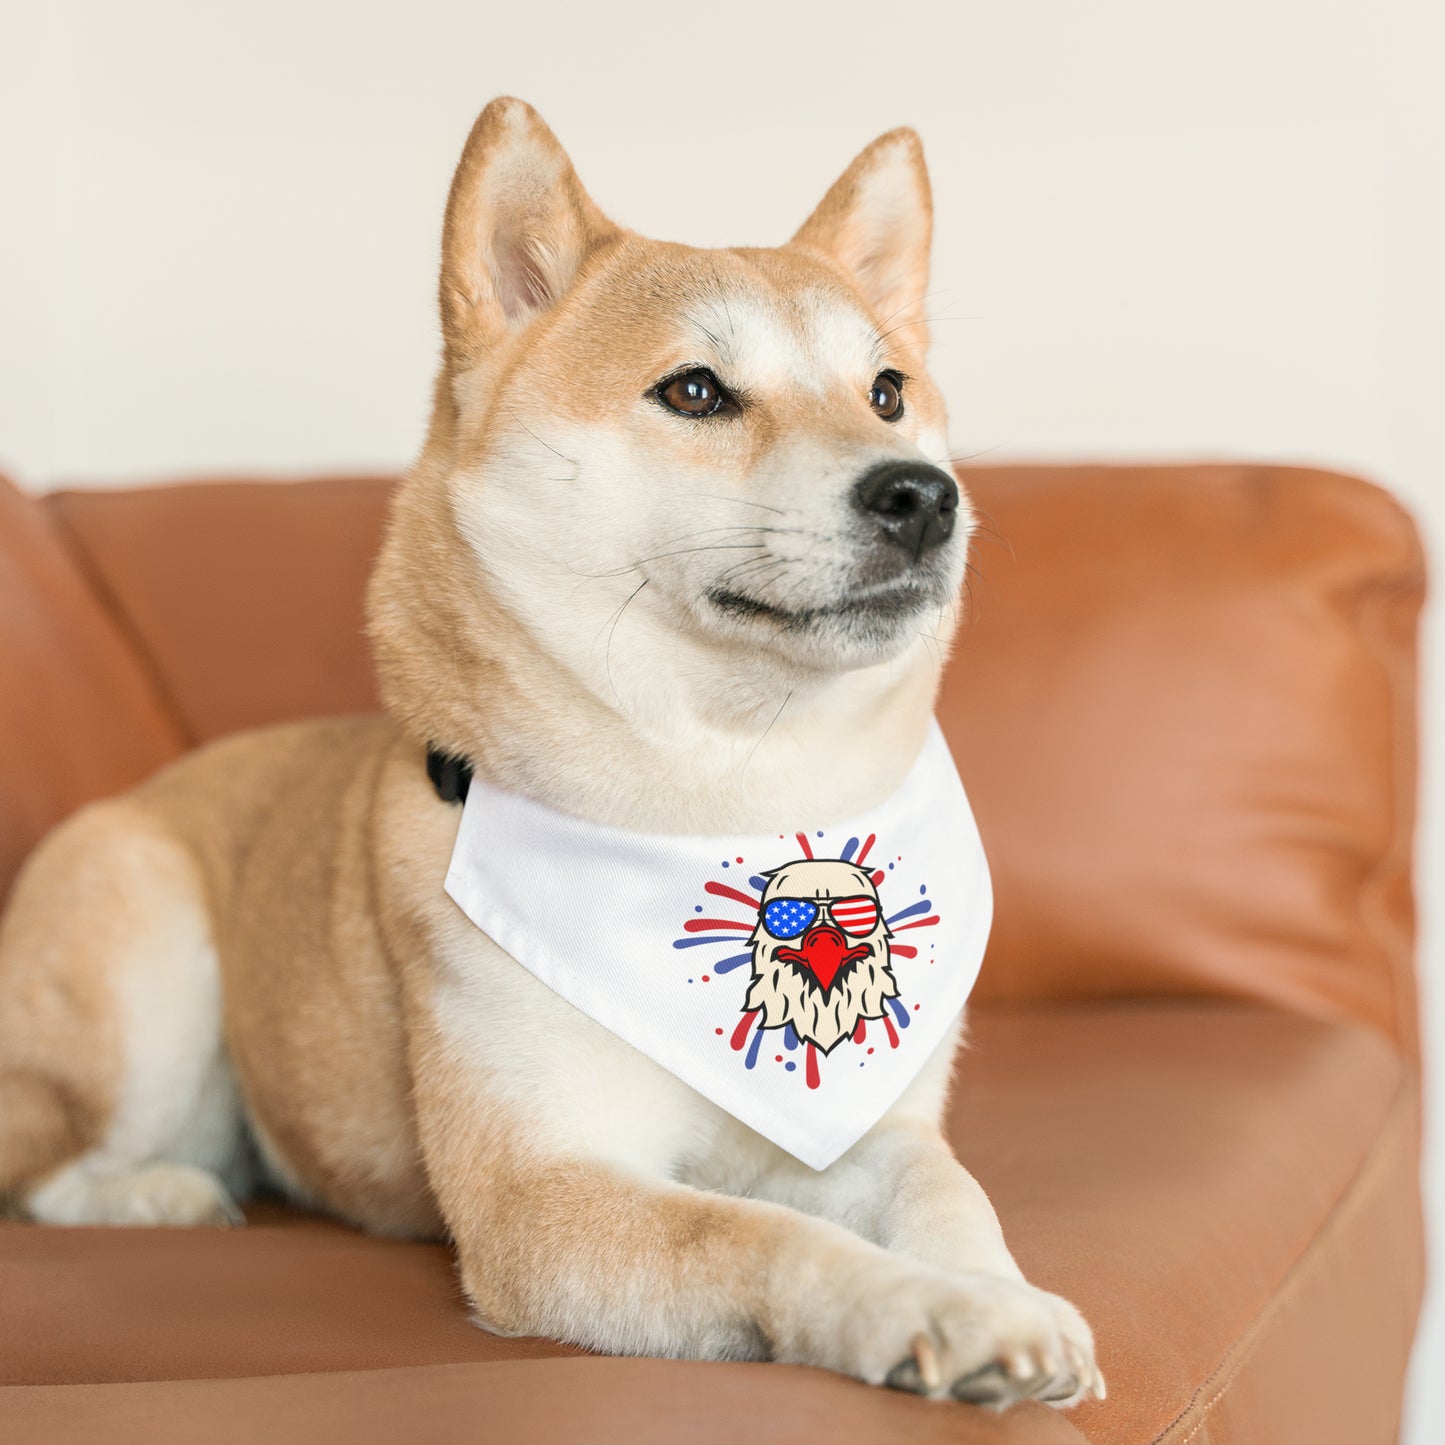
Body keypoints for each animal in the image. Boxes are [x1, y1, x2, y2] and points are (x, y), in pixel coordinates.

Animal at [0, 96, 1098, 1404]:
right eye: (694, 390)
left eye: (886, 390)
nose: (923, 495)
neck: (725, 802)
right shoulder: (540, 1193)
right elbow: (764, 1235)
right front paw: (926, 1307)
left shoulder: (871, 1124)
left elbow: (947, 1190)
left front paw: (1001, 1292)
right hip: (146, 965)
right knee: (48, 1165)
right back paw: (162, 1192)